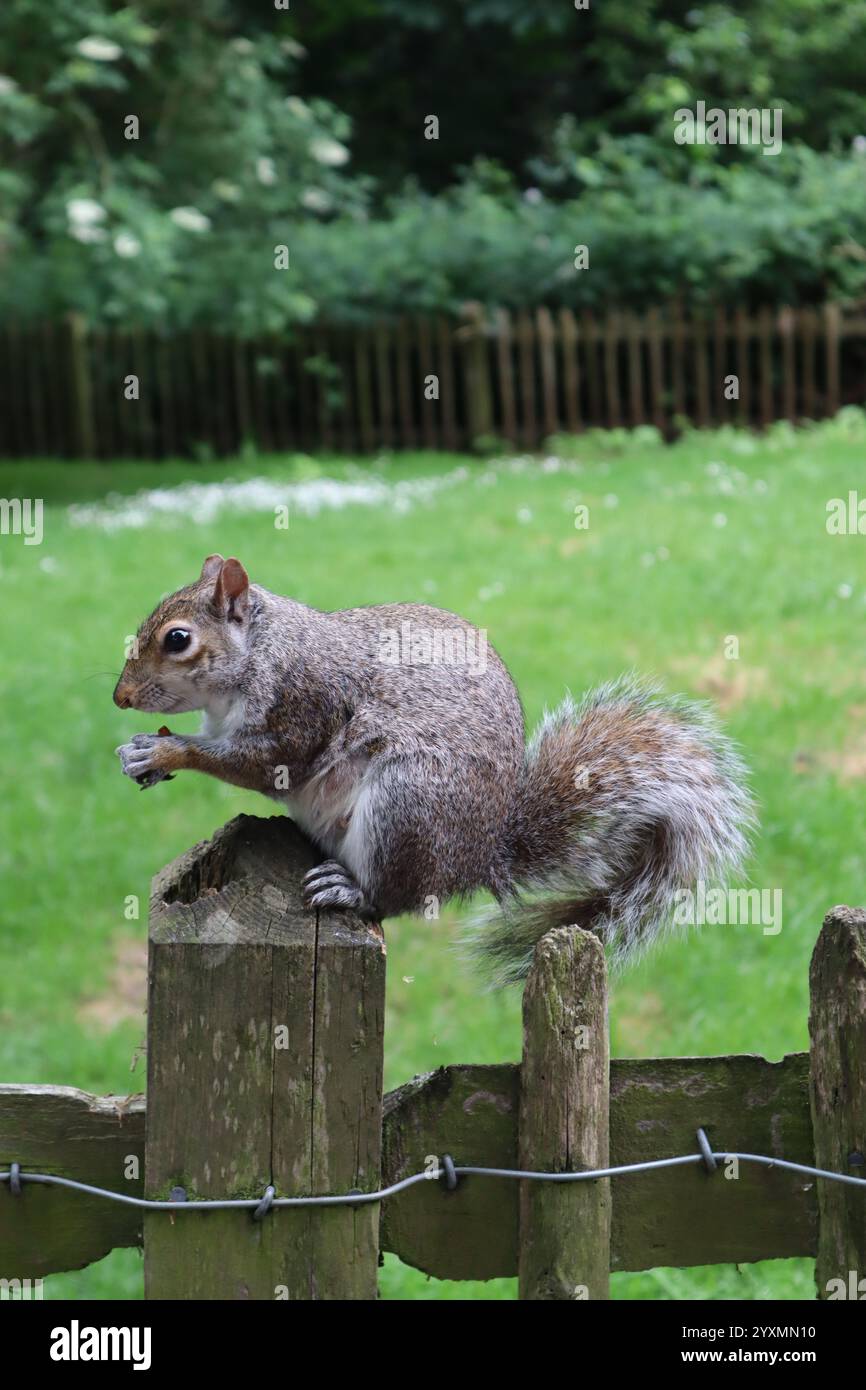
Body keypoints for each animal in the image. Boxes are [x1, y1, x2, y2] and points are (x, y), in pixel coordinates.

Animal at [115, 554, 753, 984]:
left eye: (177, 639)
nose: (120, 697)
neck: (261, 653)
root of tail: (480, 857)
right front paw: (140, 754)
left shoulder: (302, 707)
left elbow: (258, 762)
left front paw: (166, 752)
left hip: (407, 806)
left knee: (393, 897)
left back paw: (351, 889)